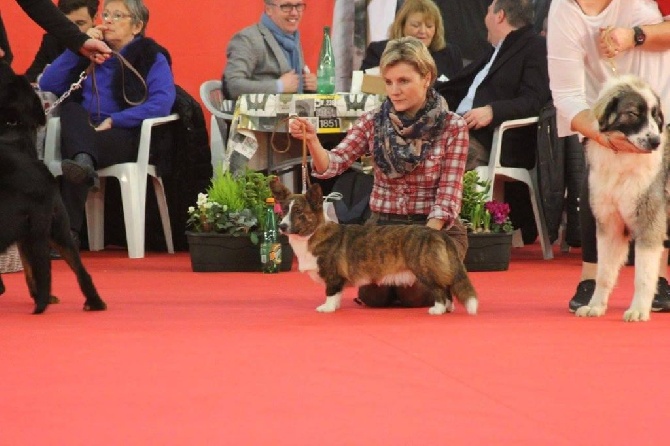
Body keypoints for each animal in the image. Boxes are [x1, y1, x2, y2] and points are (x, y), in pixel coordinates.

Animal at [0, 61, 106, 314]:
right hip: (52, 225)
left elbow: (32, 267)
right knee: (77, 268)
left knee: (76, 268)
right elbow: (32, 268)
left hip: (49, 225)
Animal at [270, 179, 480, 316]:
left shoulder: (332, 276)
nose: (282, 226)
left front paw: (327, 308)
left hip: (425, 270)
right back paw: (448, 308)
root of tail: (438, 233)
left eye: (299, 212)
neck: (312, 233)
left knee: (440, 289)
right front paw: (335, 307)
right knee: (447, 288)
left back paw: (437, 310)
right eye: (284, 210)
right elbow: (337, 294)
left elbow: (330, 293)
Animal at [580, 75, 668, 322]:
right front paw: (595, 306)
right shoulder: (610, 227)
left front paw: (638, 310)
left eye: (655, 115)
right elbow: (604, 273)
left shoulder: (649, 226)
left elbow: (643, 276)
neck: (622, 160)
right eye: (634, 114)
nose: (656, 141)